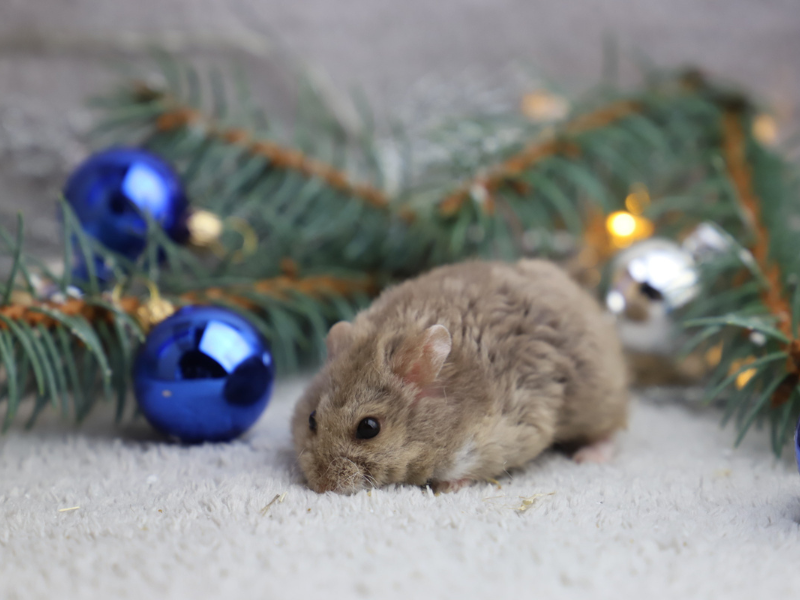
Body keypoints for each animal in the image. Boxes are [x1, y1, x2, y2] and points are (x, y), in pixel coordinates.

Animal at [291, 259, 629, 494]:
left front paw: (447, 487)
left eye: (369, 428)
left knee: (612, 429)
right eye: (311, 419)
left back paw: (588, 457)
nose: (321, 486)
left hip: (597, 401)